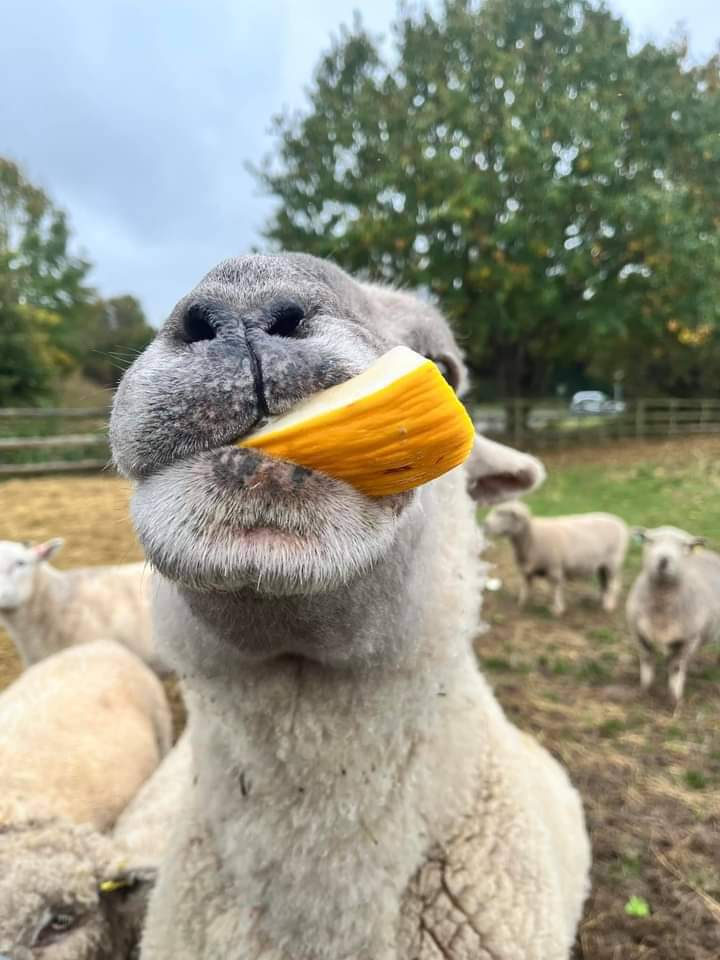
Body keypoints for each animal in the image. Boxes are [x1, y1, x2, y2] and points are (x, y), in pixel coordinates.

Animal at [484, 500, 629, 615]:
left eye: (503, 513)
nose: (485, 525)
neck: (532, 537)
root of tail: (621, 523)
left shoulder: (555, 568)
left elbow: (555, 589)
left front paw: (557, 609)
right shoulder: (525, 569)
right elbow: (526, 584)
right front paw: (523, 602)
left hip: (614, 561)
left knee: (613, 583)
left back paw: (608, 604)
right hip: (602, 564)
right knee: (604, 581)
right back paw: (601, 598)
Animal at [626, 525, 720, 706]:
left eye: (685, 546)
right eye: (650, 540)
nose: (663, 560)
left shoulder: (689, 639)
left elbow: (676, 667)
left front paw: (674, 700)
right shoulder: (638, 632)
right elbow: (647, 659)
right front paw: (645, 691)